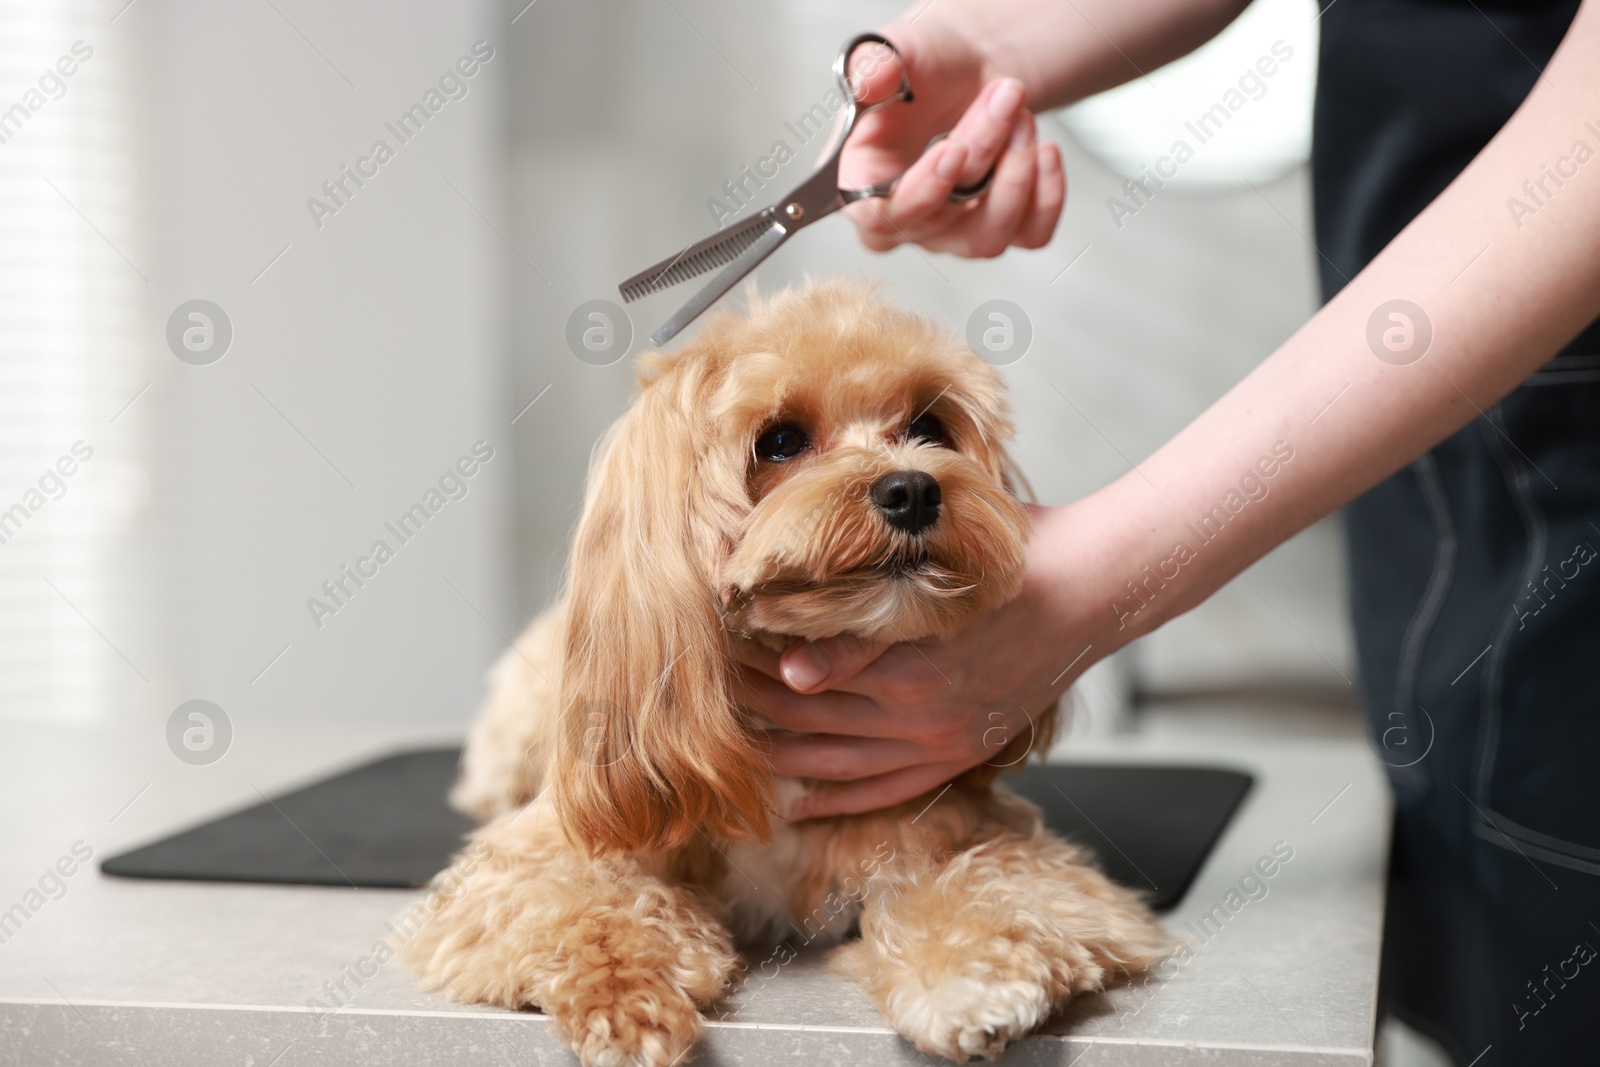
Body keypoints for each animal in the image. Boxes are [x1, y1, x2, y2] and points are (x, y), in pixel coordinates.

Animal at [403, 283, 1164, 1067]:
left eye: (929, 425)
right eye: (780, 441)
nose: (913, 490)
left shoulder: (977, 838)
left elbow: (991, 888)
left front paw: (971, 982)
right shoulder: (529, 863)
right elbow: (585, 907)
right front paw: (626, 999)